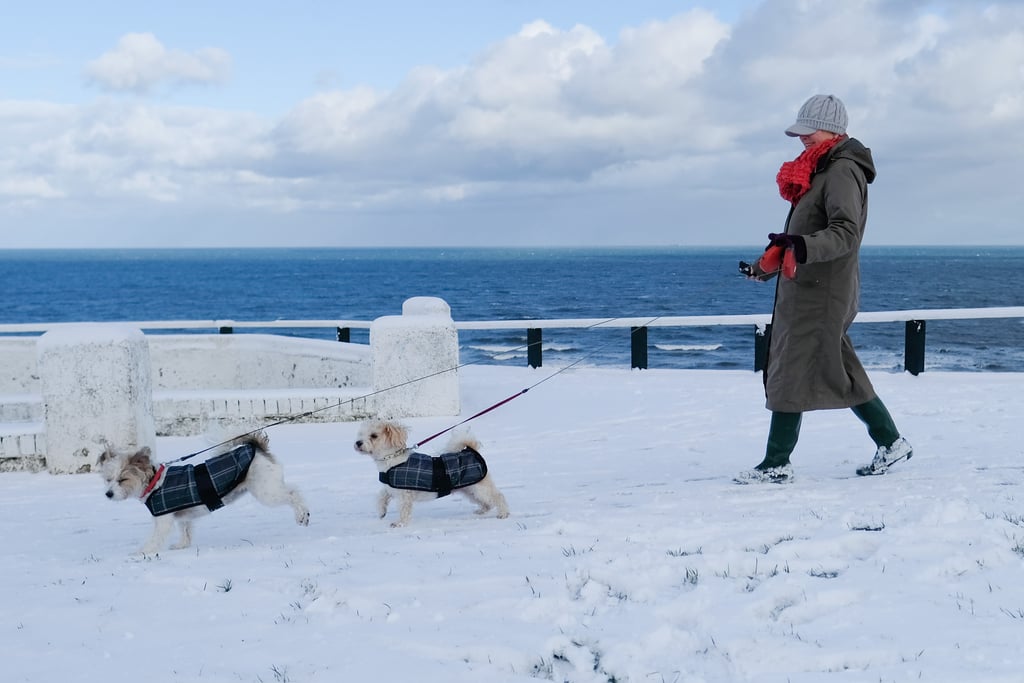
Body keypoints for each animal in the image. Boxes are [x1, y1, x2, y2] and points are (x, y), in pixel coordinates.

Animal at [98, 432, 309, 557]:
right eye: (108, 479)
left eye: (122, 480)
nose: (108, 494)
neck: (154, 483)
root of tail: (255, 448)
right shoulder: (182, 516)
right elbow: (186, 531)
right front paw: (182, 546)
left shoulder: (163, 519)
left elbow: (155, 538)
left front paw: (142, 552)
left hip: (266, 491)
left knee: (294, 493)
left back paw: (302, 515)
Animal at [354, 419, 509, 528]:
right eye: (360, 434)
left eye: (374, 436)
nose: (358, 443)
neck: (391, 459)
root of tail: (472, 450)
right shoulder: (390, 488)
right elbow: (381, 496)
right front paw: (381, 512)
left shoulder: (405, 495)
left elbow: (404, 510)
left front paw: (400, 524)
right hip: (469, 490)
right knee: (487, 502)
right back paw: (482, 510)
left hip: (480, 488)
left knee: (498, 496)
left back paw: (504, 514)